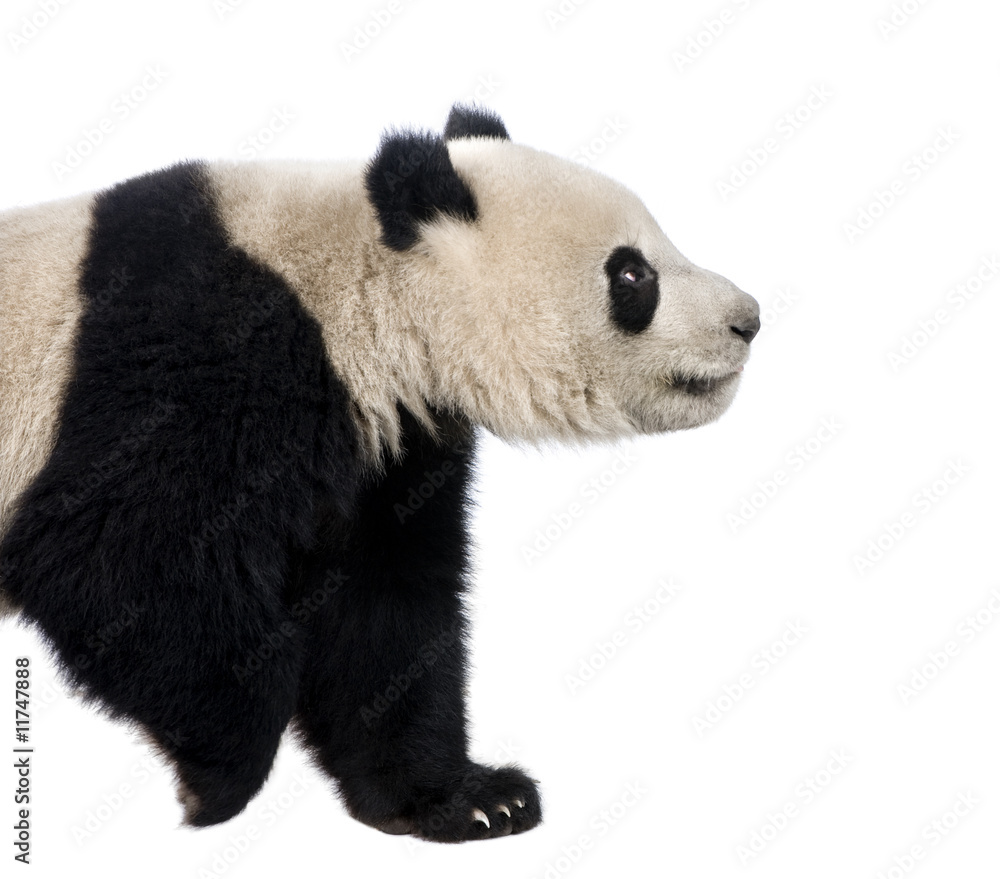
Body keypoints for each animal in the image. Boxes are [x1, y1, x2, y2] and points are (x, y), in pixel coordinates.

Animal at [0, 104, 759, 842]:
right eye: (631, 274)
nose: (748, 320)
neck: (358, 284)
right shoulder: (198, 351)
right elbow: (114, 557)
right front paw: (216, 779)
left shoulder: (389, 445)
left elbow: (383, 606)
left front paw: (465, 800)